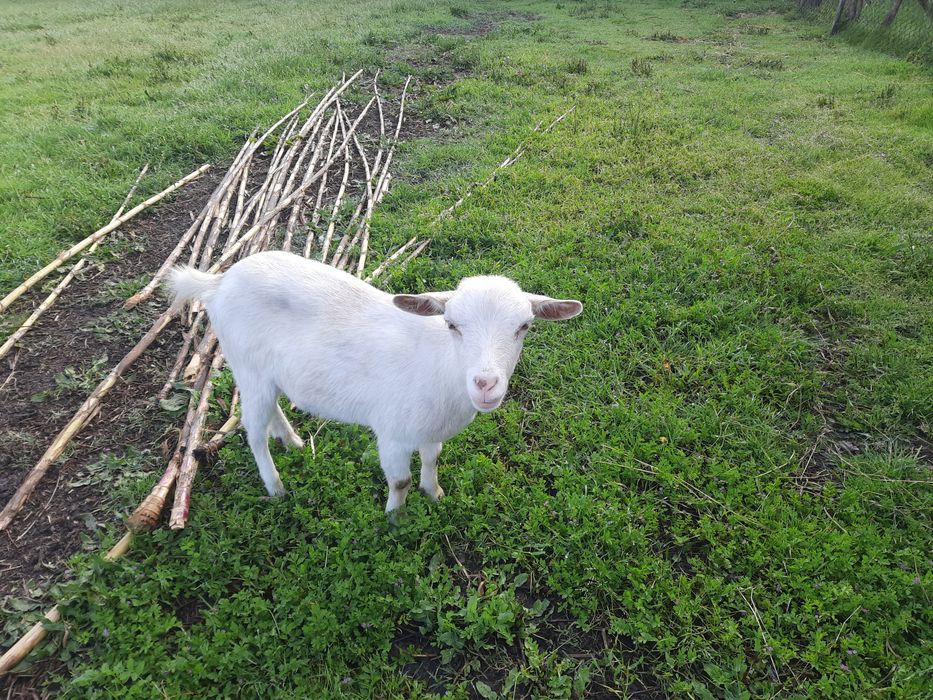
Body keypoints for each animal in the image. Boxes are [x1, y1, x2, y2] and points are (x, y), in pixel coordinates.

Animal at [169, 251, 582, 512]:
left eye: (524, 327)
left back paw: (294, 442)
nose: (485, 383)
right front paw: (395, 519)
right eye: (452, 325)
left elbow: (432, 460)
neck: (439, 365)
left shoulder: (429, 429)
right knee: (252, 431)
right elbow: (399, 482)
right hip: (247, 365)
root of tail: (217, 283)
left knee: (272, 409)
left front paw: (434, 493)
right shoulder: (393, 434)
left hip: (268, 373)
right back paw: (276, 486)